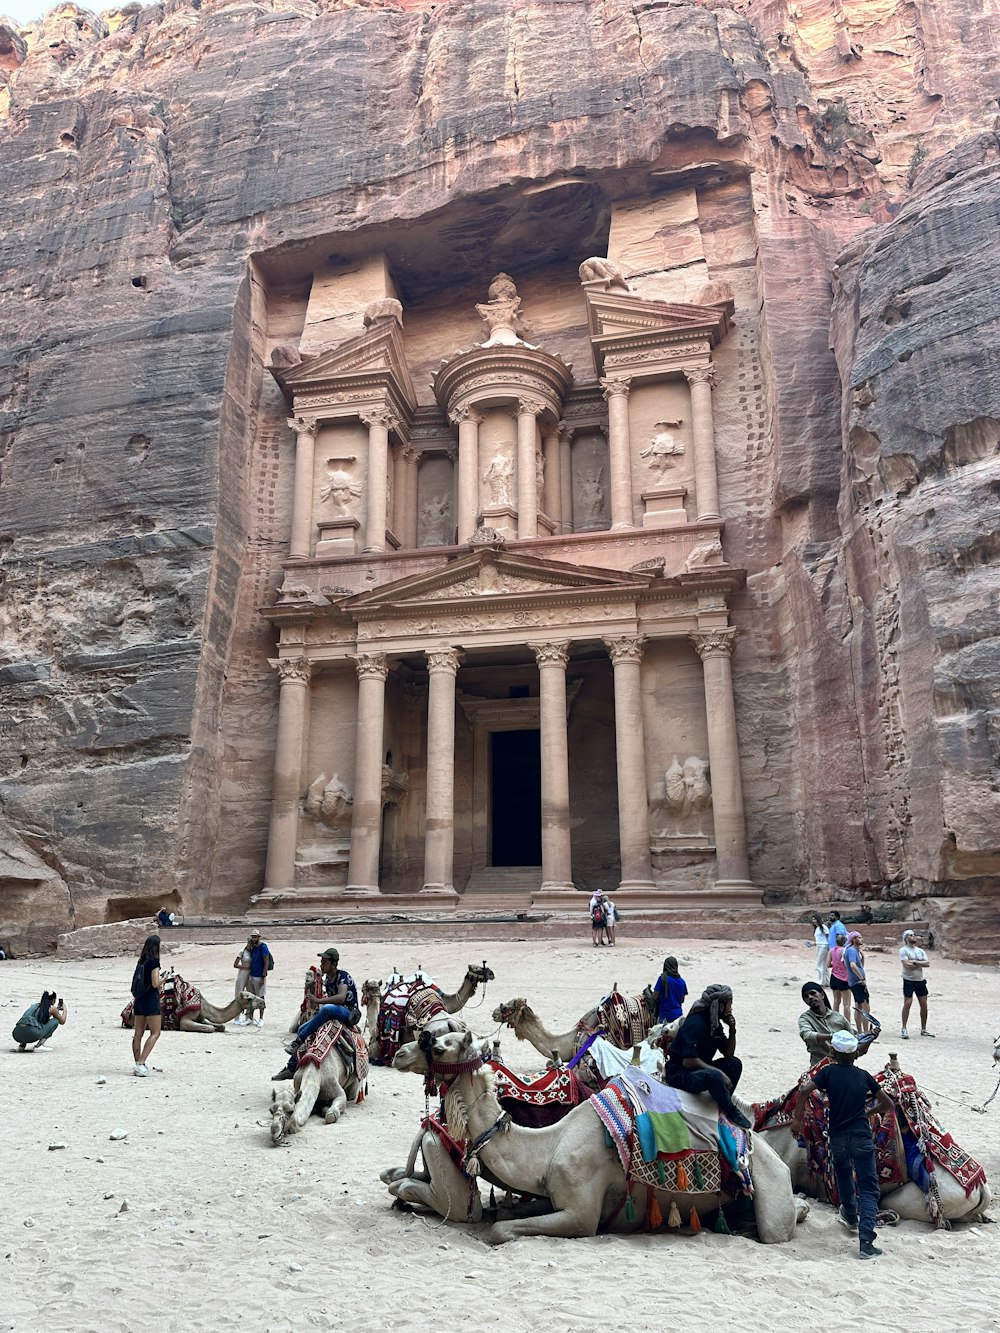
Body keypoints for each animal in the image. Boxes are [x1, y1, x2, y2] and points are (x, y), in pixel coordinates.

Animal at [386, 1023, 810, 1242]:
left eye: (441, 1044)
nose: (399, 1054)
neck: (548, 1146)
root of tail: (758, 1144)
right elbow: (508, 1210)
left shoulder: (580, 1213)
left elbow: (502, 1230)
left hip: (769, 1187)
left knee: (774, 1227)